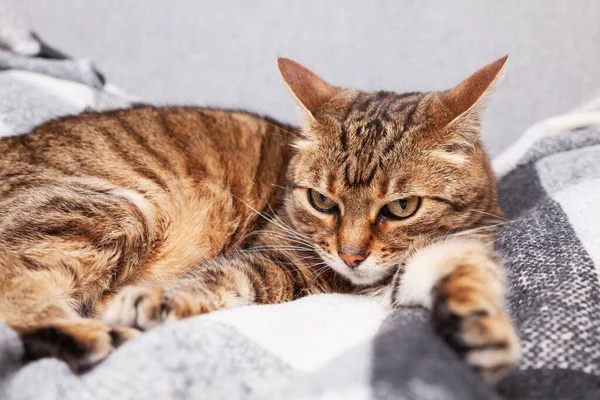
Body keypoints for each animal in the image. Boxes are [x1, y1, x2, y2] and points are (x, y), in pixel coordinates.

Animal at [0, 56, 516, 382]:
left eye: (401, 208)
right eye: (322, 201)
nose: (351, 256)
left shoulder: (464, 243)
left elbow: (464, 276)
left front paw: (479, 329)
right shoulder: (275, 257)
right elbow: (226, 280)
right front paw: (156, 302)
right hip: (111, 208)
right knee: (19, 292)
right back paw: (99, 334)